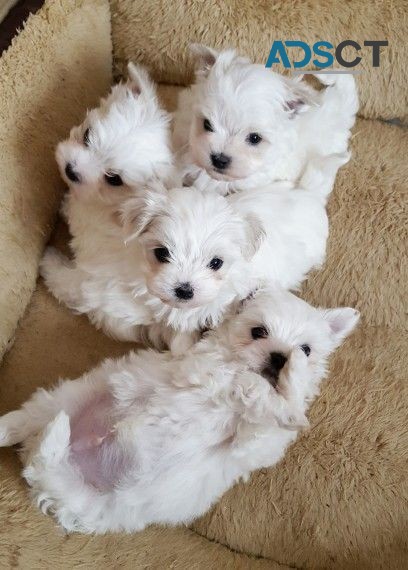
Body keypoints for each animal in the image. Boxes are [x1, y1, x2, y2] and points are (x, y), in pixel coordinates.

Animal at [0, 286, 358, 532]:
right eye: (259, 332)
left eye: (307, 348)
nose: (281, 357)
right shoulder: (203, 369)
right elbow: (246, 382)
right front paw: (274, 391)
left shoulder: (252, 445)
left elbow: (267, 417)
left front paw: (290, 391)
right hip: (75, 395)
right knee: (33, 418)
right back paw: (10, 428)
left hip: (97, 503)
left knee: (46, 465)